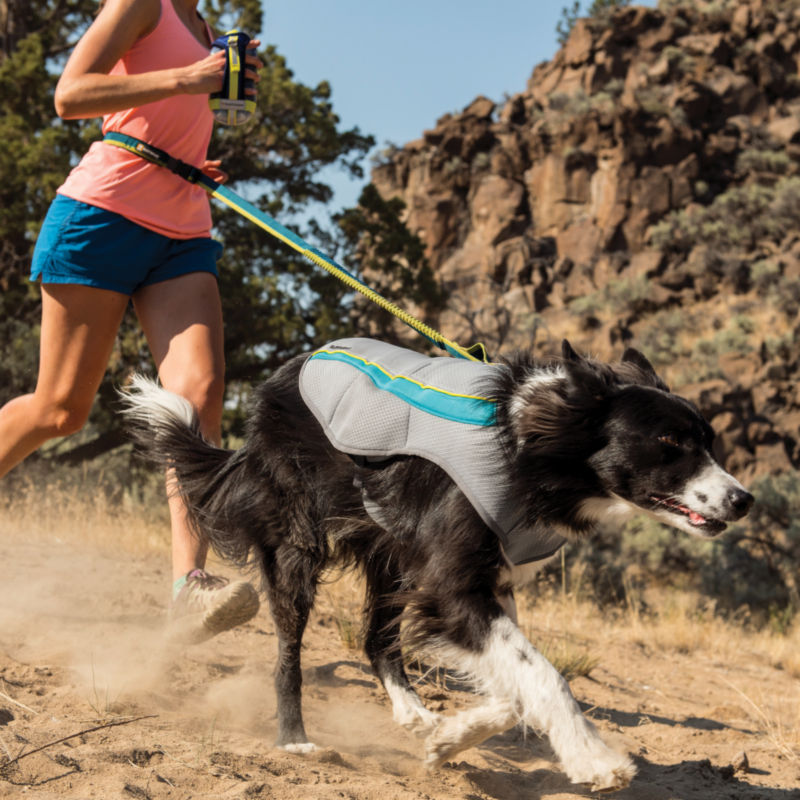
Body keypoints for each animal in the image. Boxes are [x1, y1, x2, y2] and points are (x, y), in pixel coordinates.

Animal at [122, 340, 752, 792]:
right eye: (669, 442)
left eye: (708, 442)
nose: (744, 500)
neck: (529, 449)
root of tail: (277, 384)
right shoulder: (453, 584)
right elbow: (544, 674)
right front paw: (593, 758)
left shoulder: (489, 580)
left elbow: (514, 682)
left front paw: (450, 739)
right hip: (301, 542)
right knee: (289, 652)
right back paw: (295, 738)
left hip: (390, 552)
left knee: (377, 638)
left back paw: (414, 713)